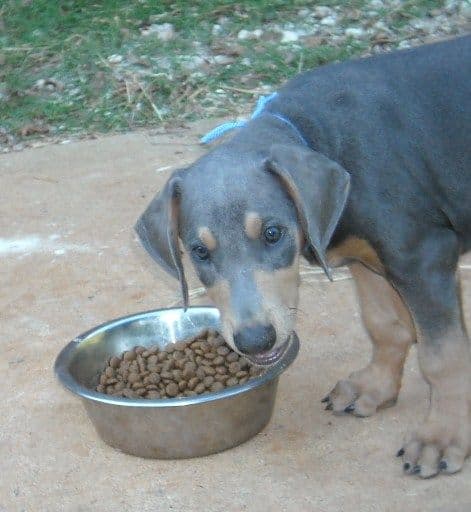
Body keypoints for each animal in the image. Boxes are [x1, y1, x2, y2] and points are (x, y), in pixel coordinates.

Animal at [135, 37, 470, 480]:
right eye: (200, 251)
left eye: (273, 233)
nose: (255, 341)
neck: (317, 135)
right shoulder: (367, 260)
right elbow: (385, 325)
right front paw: (375, 388)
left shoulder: (424, 257)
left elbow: (442, 357)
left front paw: (442, 436)